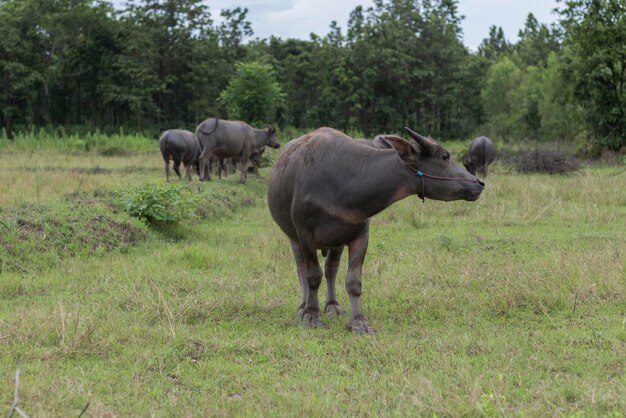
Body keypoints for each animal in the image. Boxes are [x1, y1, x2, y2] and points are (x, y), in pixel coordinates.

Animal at [266, 125, 486, 334]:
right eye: (445, 156)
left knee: (331, 270)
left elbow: (353, 281)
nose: (479, 183)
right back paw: (301, 308)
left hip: (336, 240)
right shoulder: (305, 236)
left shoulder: (360, 235)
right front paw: (311, 316)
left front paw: (358, 323)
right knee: (302, 271)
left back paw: (332, 306)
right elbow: (312, 277)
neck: (343, 181)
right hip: (293, 237)